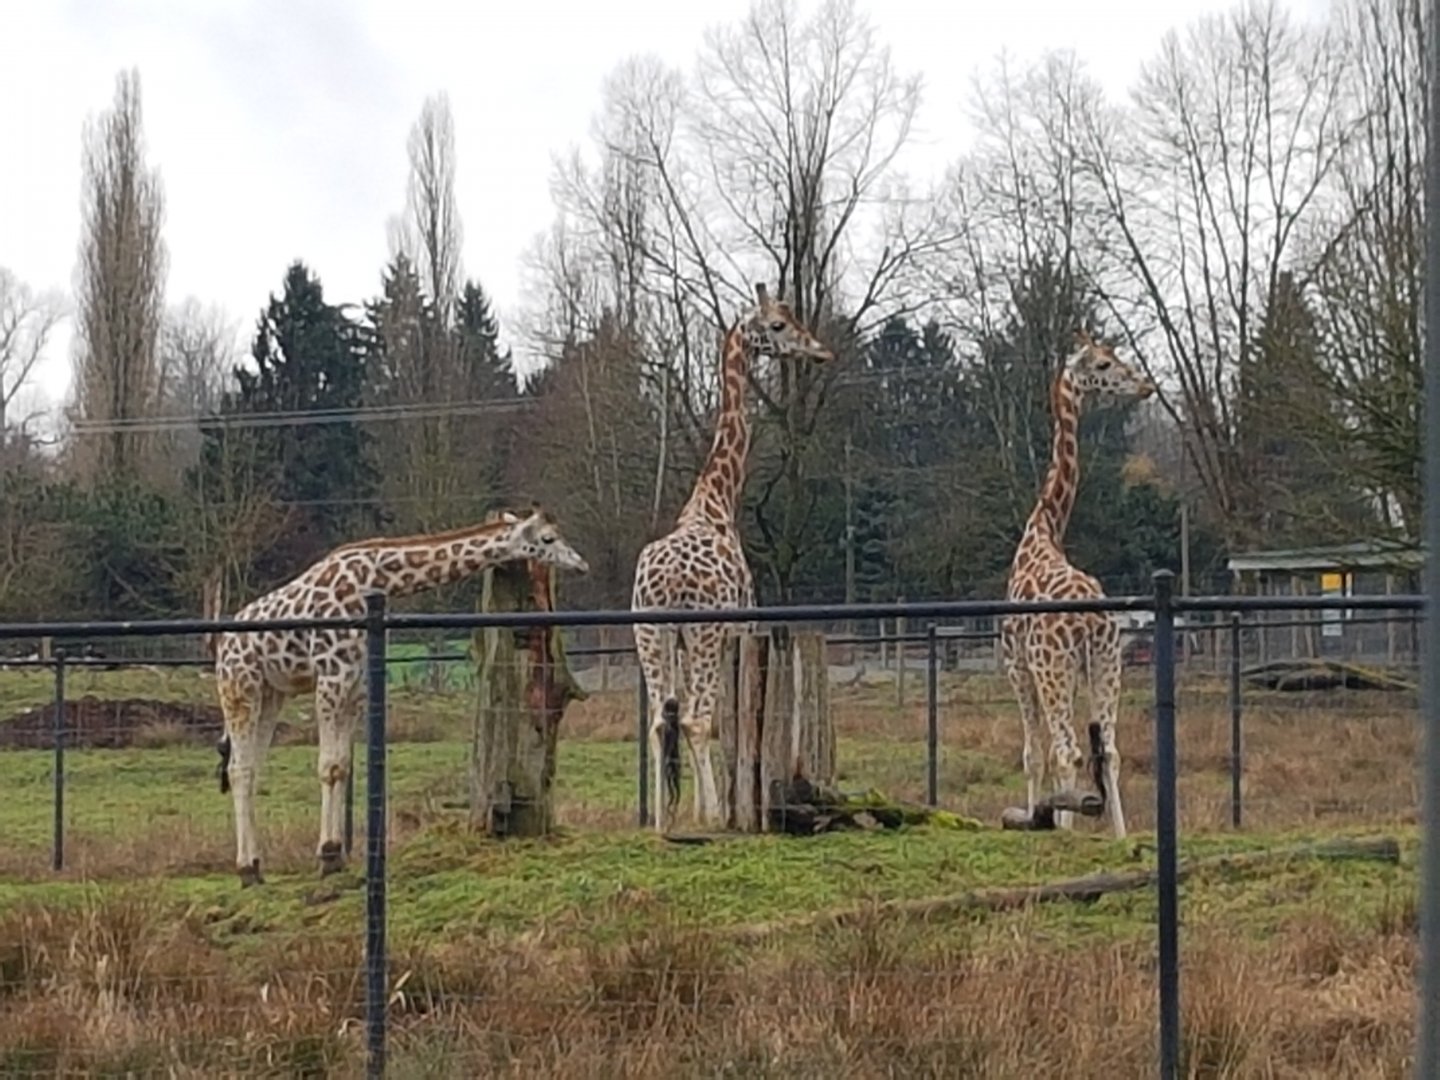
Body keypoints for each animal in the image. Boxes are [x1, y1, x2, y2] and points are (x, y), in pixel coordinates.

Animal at [212, 505, 589, 886]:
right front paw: (328, 856)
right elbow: (328, 766)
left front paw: (336, 855)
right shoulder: (331, 675)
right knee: (238, 768)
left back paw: (256, 864)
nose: (582, 564)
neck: (376, 579)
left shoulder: (356, 683)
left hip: (271, 692)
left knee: (251, 766)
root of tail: (222, 642)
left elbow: (342, 766)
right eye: (548, 538)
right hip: (239, 686)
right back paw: (246, 869)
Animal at [632, 283, 834, 832]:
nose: (820, 349)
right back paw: (712, 816)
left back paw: (661, 824)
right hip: (701, 634)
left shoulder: (686, 641)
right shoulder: (737, 628)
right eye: (780, 325)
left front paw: (684, 810)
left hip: (649, 634)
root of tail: (664, 585)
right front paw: (716, 809)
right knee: (696, 719)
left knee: (660, 720)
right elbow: (724, 719)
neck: (718, 498)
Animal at [1000, 328, 1155, 841]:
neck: (1044, 528)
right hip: (1107, 662)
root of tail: (1087, 619)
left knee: (1067, 749)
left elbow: (1034, 754)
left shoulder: (1018, 666)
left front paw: (1041, 818)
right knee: (1109, 750)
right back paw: (1120, 837)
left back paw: (1066, 831)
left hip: (1055, 669)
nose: (1146, 384)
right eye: (1104, 363)